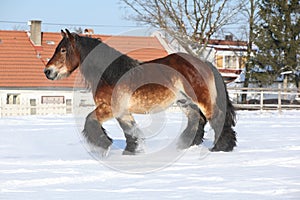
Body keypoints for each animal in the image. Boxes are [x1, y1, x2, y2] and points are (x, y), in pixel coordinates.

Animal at [44, 29, 237, 155]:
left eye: (63, 50)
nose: (47, 71)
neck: (110, 74)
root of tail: (205, 64)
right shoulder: (123, 112)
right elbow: (130, 131)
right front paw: (131, 151)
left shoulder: (109, 108)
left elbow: (90, 120)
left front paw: (104, 145)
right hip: (185, 102)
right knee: (197, 120)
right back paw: (185, 146)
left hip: (202, 100)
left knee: (216, 118)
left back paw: (220, 148)